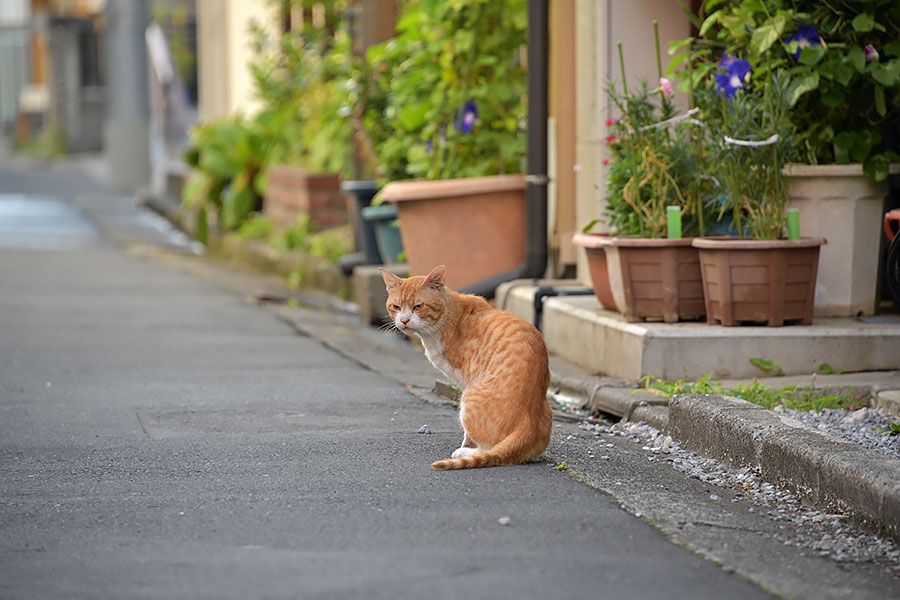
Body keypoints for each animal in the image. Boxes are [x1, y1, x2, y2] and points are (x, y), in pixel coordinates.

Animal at [378, 266, 552, 468]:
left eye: (418, 307)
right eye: (396, 307)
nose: (404, 321)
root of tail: (527, 424)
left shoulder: (466, 381)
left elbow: (468, 435)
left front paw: (465, 446)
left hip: (469, 396)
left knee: (489, 449)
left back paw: (464, 453)